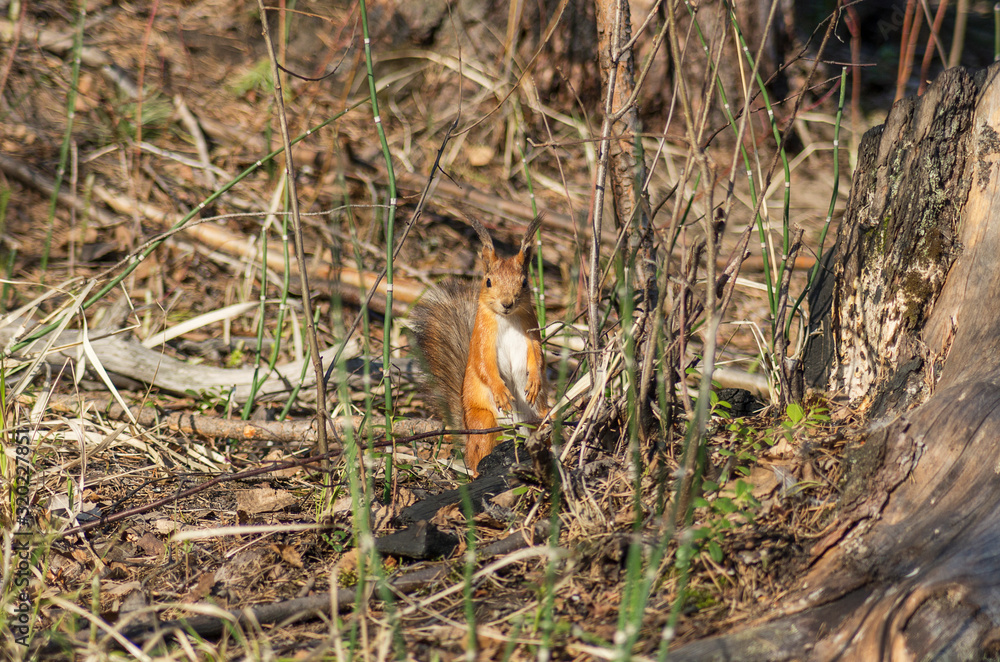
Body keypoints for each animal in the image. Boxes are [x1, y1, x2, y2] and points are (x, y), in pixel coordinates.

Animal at [412, 215, 552, 474]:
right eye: (488, 282)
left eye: (524, 282)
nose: (507, 303)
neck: (508, 319)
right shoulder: (482, 340)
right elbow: (484, 365)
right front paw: (501, 392)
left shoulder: (532, 336)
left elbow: (538, 359)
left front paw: (535, 381)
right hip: (484, 423)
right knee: (478, 456)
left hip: (542, 417)